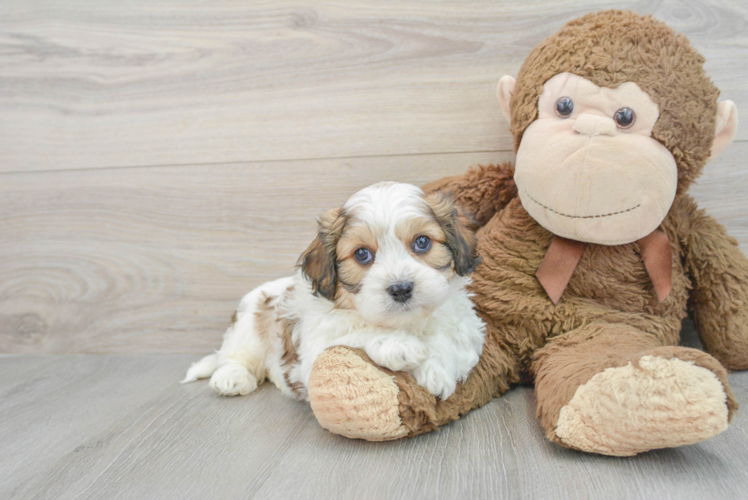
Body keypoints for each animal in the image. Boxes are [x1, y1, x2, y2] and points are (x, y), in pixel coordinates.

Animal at [182, 182, 486, 400]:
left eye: (422, 242)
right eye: (362, 254)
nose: (400, 288)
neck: (405, 323)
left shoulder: (469, 328)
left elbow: (450, 338)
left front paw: (436, 369)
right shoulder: (316, 349)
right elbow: (357, 331)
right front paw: (399, 345)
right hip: (247, 325)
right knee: (234, 356)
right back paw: (231, 377)